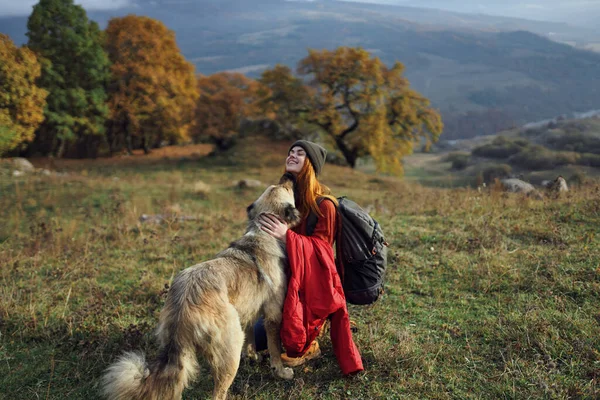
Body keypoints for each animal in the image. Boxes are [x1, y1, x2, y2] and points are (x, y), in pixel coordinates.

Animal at [102, 177, 304, 400]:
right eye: (285, 188)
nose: (288, 177)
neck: (262, 232)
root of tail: (183, 306)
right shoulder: (273, 315)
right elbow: (275, 348)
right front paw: (280, 371)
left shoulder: (248, 308)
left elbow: (251, 332)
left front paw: (252, 355)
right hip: (230, 347)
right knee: (218, 393)